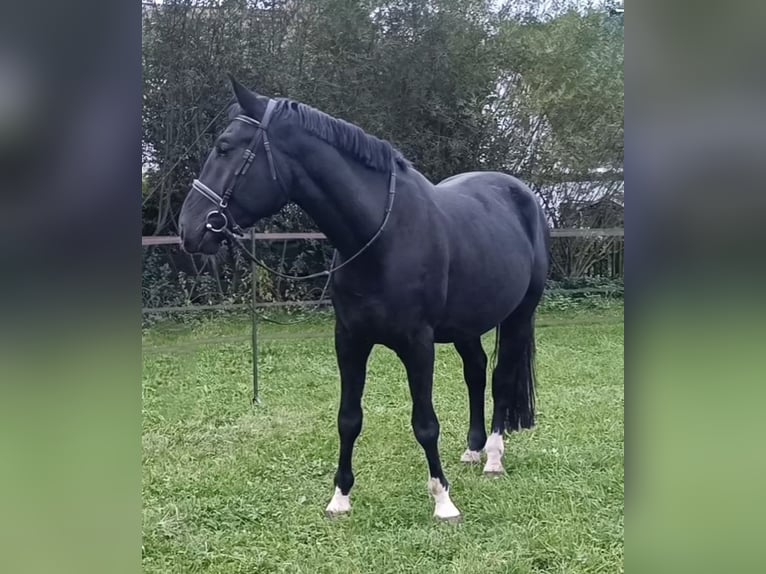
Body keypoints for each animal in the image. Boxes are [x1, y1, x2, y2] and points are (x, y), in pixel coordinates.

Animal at [180, 79, 552, 524]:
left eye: (224, 146)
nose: (188, 228)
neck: (381, 236)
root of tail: (523, 195)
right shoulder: (349, 340)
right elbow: (349, 419)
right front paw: (340, 497)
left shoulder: (418, 345)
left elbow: (425, 423)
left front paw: (443, 501)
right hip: (467, 324)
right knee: (476, 372)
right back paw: (473, 448)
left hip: (518, 315)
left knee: (500, 377)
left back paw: (494, 457)